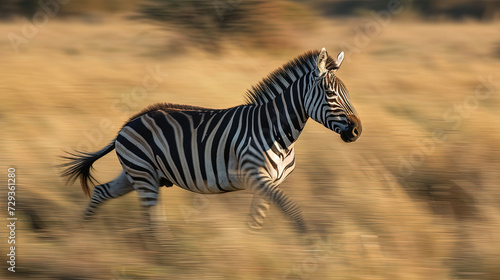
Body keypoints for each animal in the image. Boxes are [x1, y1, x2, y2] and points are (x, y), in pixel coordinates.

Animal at [60, 48, 362, 234]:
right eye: (330, 95)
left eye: (347, 93)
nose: (357, 130)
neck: (277, 131)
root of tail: (128, 122)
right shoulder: (256, 176)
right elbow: (291, 210)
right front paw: (308, 239)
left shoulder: (271, 183)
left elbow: (256, 221)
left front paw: (250, 246)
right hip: (143, 174)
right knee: (153, 218)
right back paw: (164, 254)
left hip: (138, 172)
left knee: (102, 192)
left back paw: (81, 235)